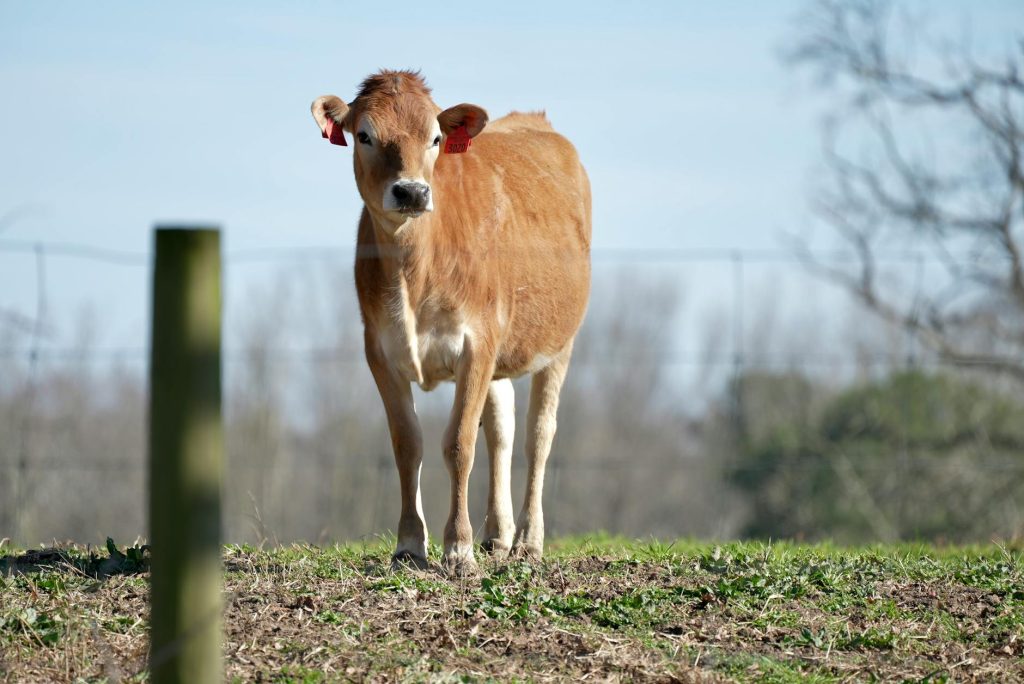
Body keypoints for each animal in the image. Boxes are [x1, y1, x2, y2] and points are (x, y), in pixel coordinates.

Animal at [311, 70, 591, 576]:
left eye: (436, 138)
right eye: (364, 135)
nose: (412, 192)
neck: (413, 269)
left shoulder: (476, 343)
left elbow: (459, 443)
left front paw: (458, 548)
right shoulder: (379, 349)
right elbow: (408, 444)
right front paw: (409, 544)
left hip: (560, 342)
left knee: (539, 435)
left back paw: (527, 541)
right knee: (502, 429)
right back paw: (497, 534)